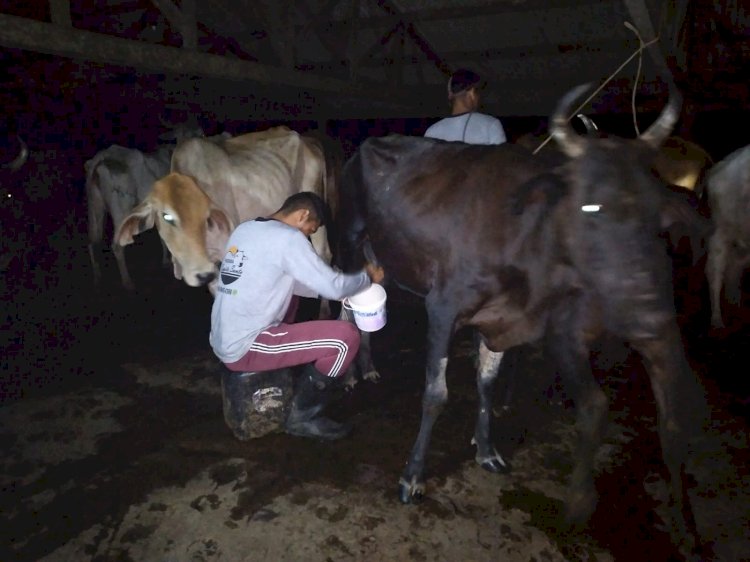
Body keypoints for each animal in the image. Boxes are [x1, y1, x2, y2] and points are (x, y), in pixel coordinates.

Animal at [340, 84, 712, 556]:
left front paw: (486, 449)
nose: (650, 311)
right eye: (589, 207)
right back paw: (354, 373)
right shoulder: (443, 307)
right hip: (349, 241)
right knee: (344, 306)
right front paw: (412, 477)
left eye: (657, 216)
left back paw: (369, 367)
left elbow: (487, 381)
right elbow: (436, 393)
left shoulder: (507, 321)